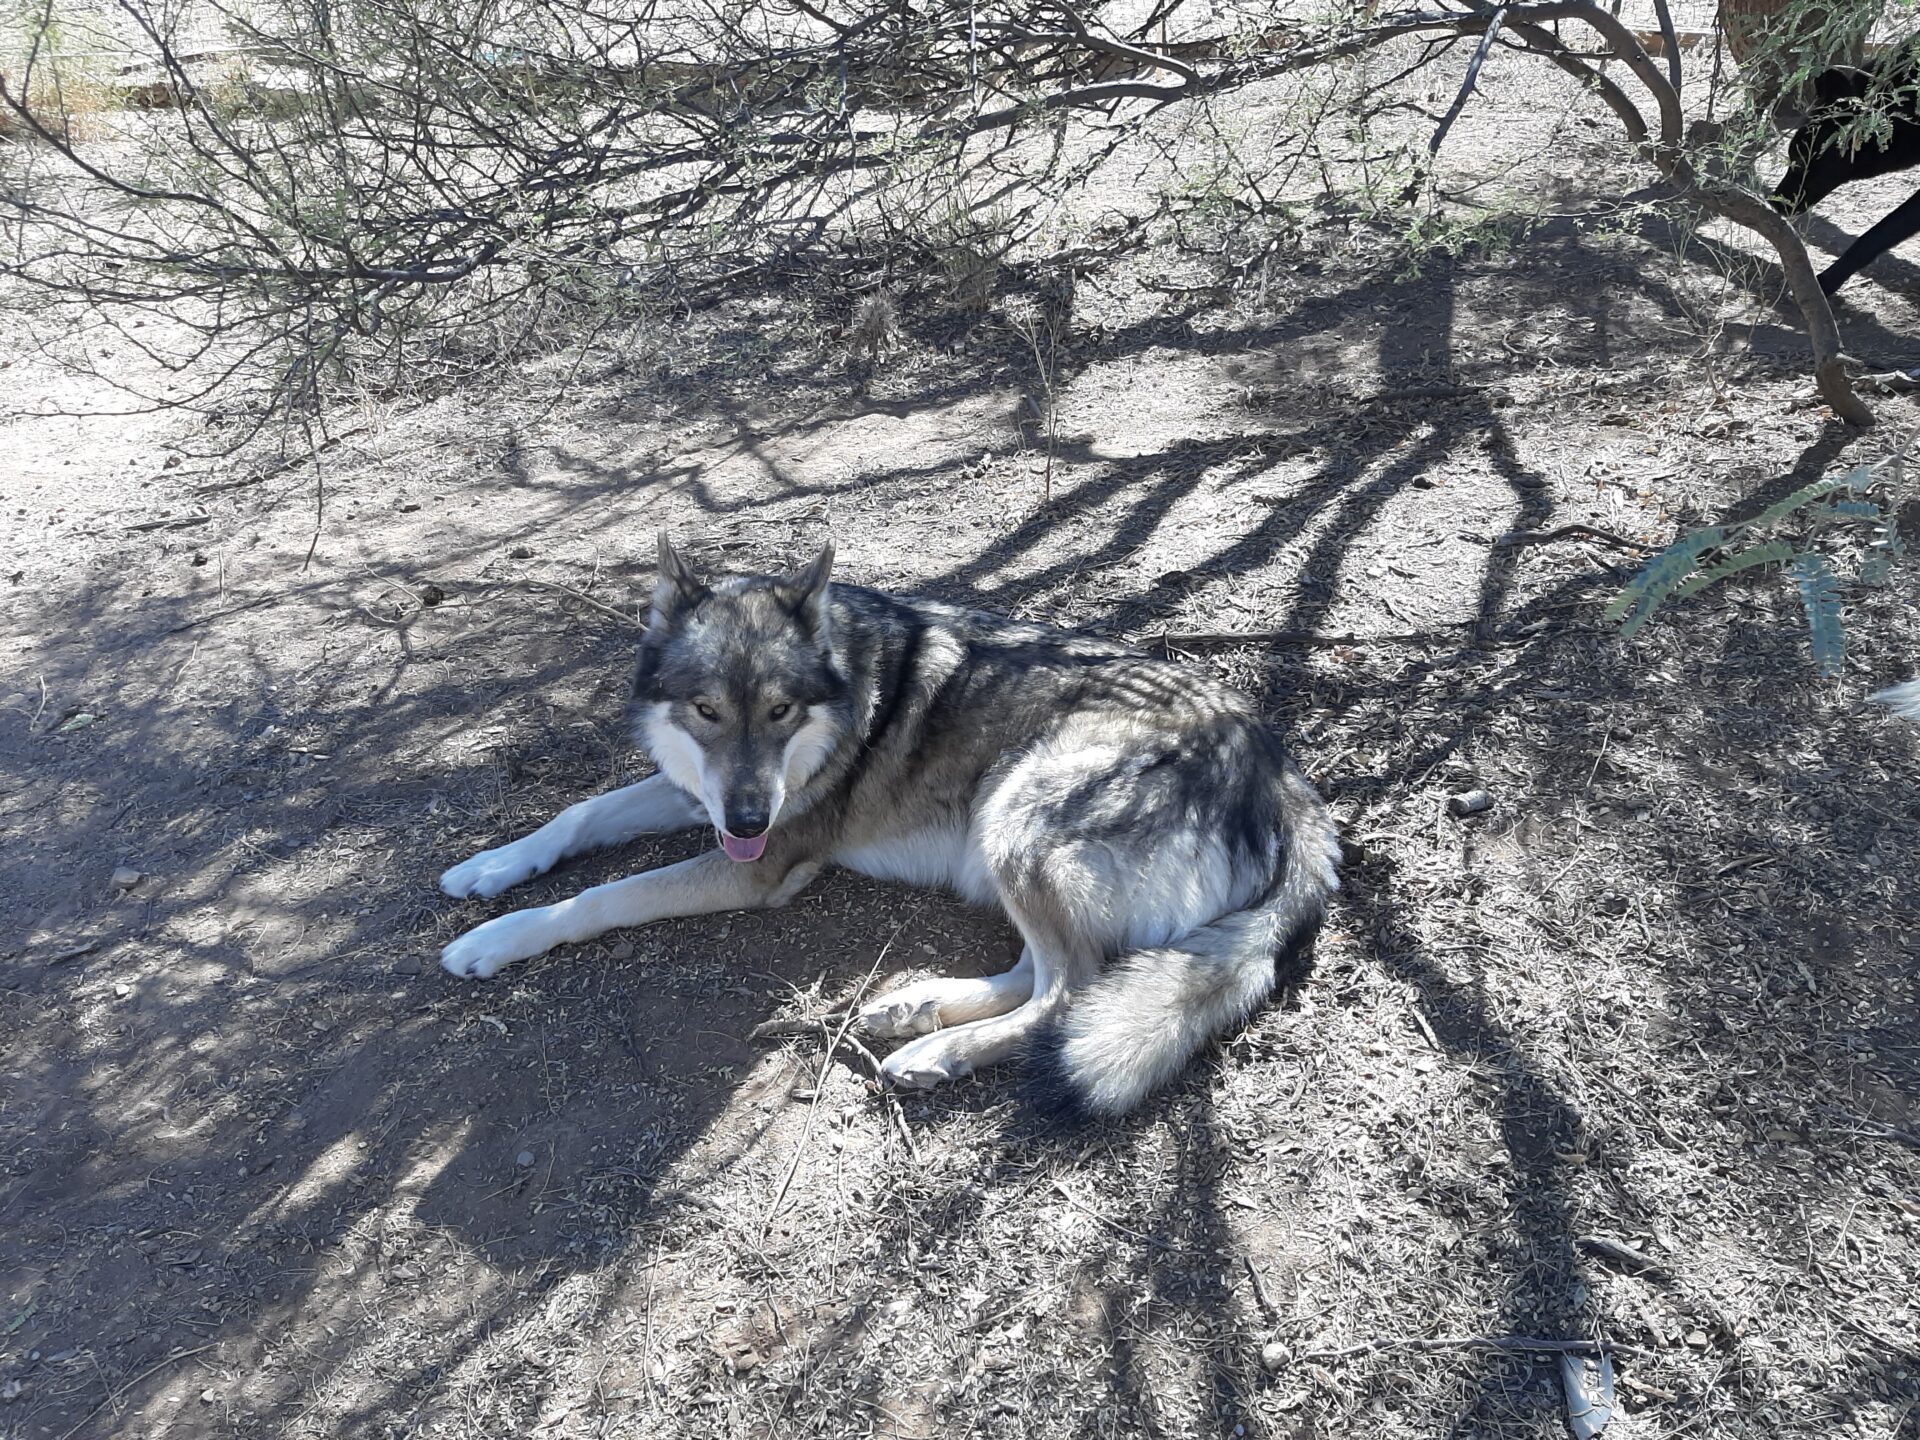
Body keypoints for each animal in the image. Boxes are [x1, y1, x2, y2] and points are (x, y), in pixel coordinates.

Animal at [437, 537, 1344, 1113]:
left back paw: (934, 1053)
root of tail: (1287, 780)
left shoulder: (754, 867)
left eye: (780, 711)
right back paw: (915, 1009)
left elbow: (601, 897)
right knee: (1047, 974)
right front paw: (490, 867)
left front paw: (496, 938)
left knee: (1068, 993)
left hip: (1015, 814)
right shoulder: (700, 800)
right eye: (706, 711)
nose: (750, 815)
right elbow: (578, 812)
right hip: (1009, 842)